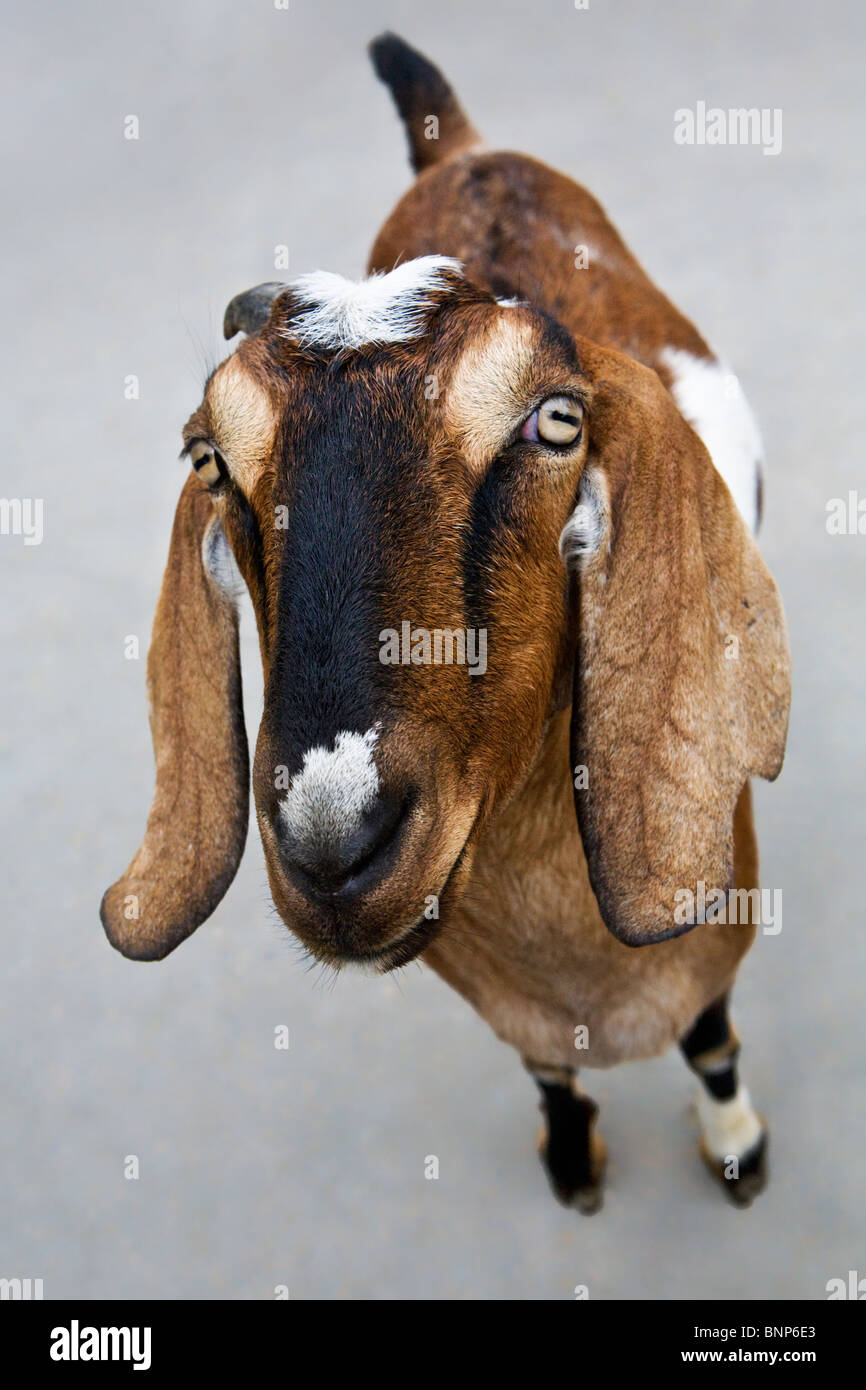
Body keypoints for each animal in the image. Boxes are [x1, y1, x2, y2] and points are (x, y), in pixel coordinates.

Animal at [101, 33, 791, 1212]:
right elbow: (544, 1067)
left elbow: (709, 1039)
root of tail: (463, 148)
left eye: (556, 421)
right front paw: (571, 1158)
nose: (335, 844)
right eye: (210, 458)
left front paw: (736, 1147)